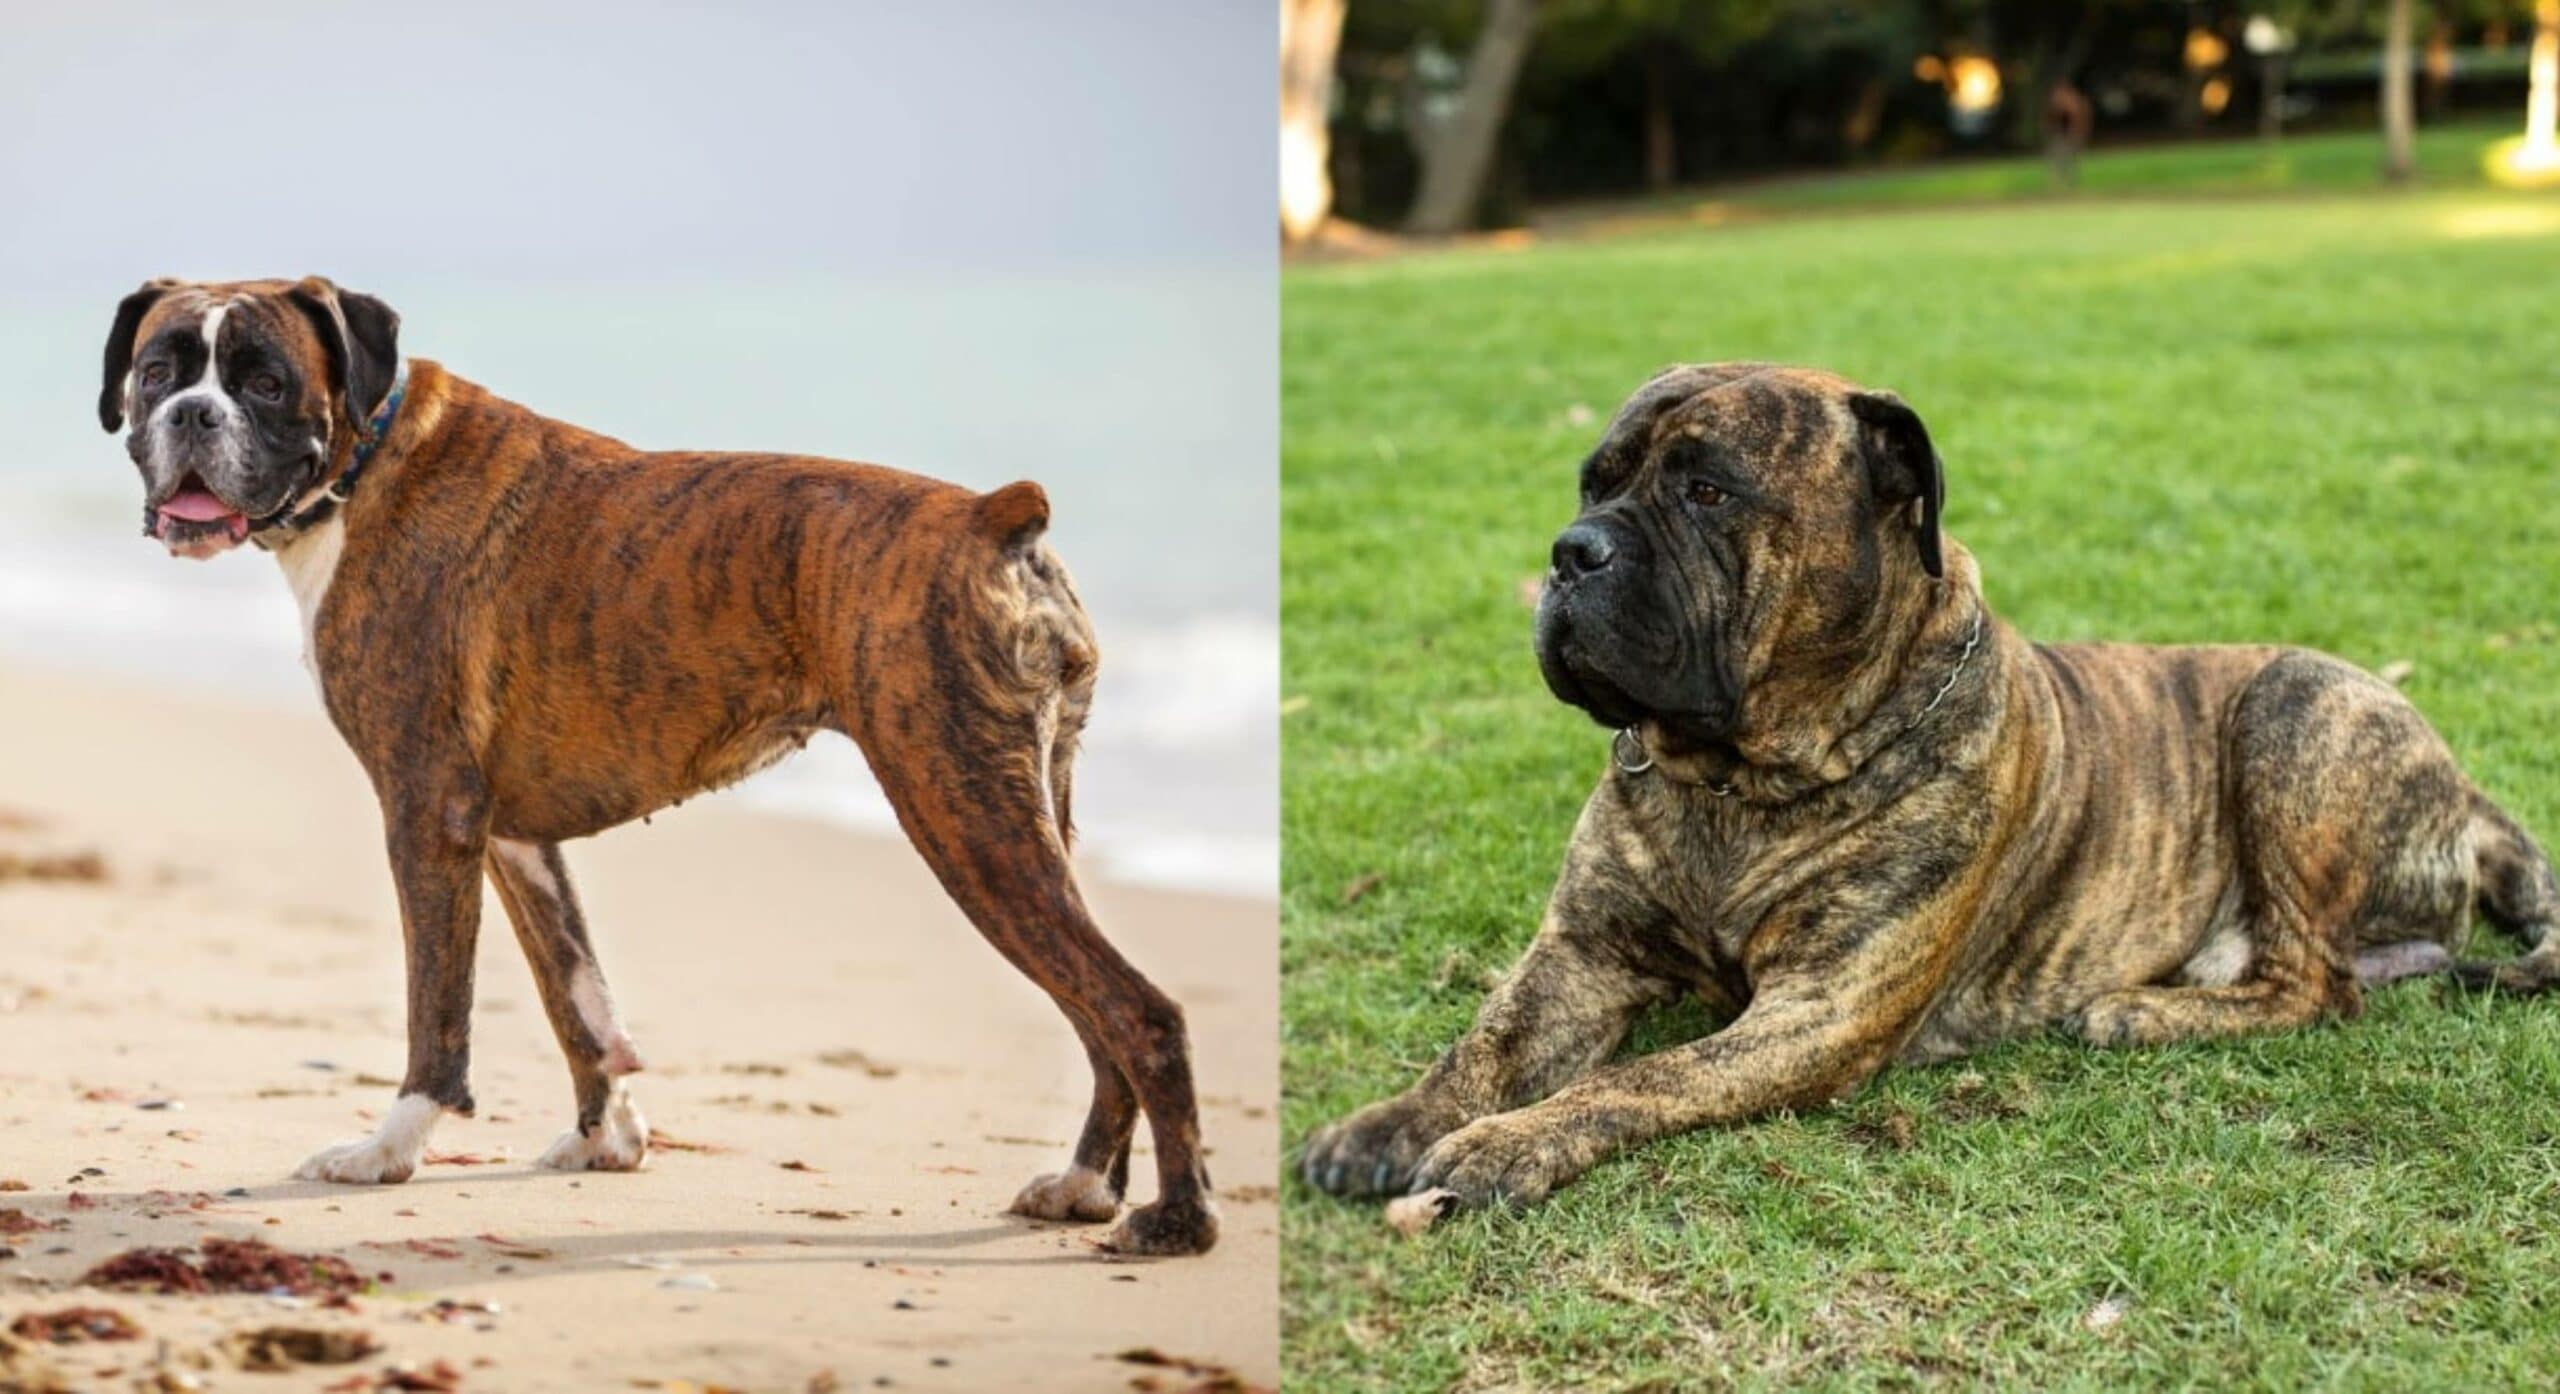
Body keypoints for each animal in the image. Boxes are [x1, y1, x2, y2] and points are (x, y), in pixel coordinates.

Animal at [94, 271, 1213, 1248]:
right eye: (158, 371)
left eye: (266, 381)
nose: (193, 416)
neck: (368, 458)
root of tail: (993, 513)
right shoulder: (510, 836)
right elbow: (576, 994)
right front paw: (611, 1138)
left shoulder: (428, 815)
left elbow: (438, 1014)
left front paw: (390, 1149)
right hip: (1028, 816)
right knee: (1094, 1012)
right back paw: (1082, 1186)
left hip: (963, 816)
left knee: (1135, 1009)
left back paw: (1176, 1219)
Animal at [1310, 363, 2549, 1212]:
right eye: (1592, 482)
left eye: (1708, 489)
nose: (1571, 551)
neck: (1740, 776)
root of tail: (2465, 786)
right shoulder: (1581, 952)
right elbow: (1486, 1040)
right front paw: (1390, 1120)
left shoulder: (1818, 1008)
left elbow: (1641, 1077)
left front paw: (1501, 1142)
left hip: (2293, 706)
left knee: (2315, 983)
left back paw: (2140, 1009)